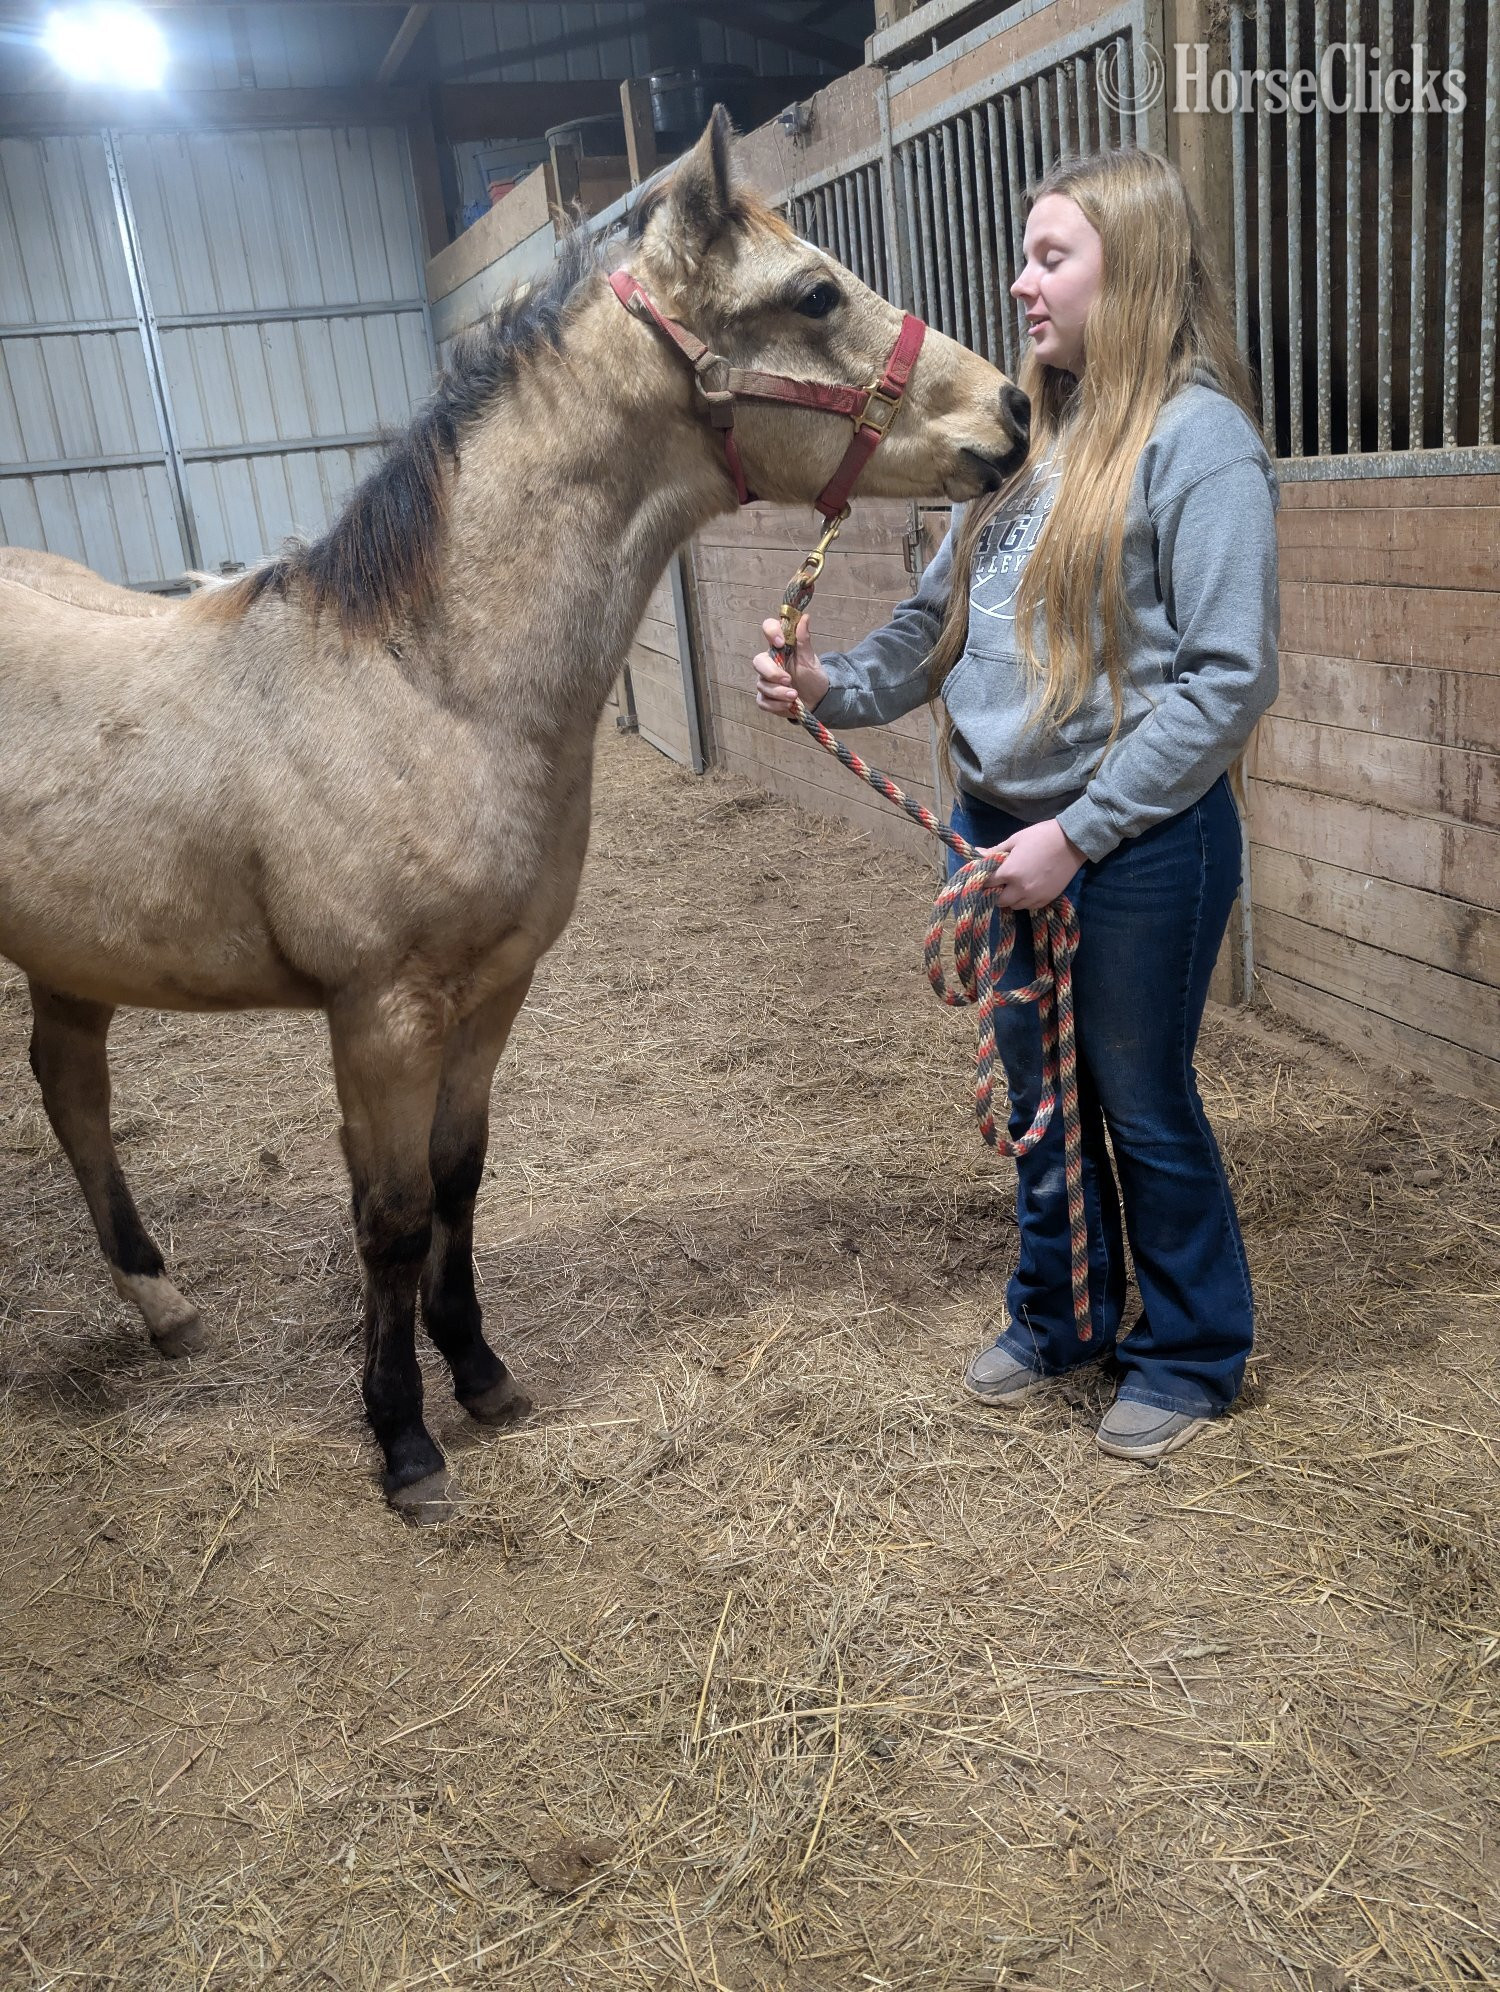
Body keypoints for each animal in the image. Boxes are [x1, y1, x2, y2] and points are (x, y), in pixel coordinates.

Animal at [0, 111, 1028, 1518]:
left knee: (74, 1094)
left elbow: (457, 1184)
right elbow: (386, 1218)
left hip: (75, 954)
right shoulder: (380, 1017)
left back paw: (162, 1307)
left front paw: (480, 1374)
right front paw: (404, 1441)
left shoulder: (491, 994)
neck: (425, 682)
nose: (1012, 410)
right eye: (813, 294)